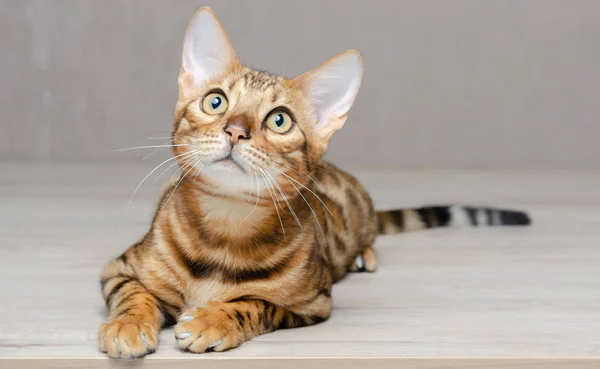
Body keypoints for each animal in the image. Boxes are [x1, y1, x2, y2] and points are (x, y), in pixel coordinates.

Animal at [97, 7, 528, 358]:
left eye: (279, 120)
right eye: (215, 101)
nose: (235, 130)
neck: (226, 226)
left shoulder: (313, 303)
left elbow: (254, 303)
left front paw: (212, 320)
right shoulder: (119, 267)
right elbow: (133, 294)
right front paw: (127, 326)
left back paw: (364, 254)